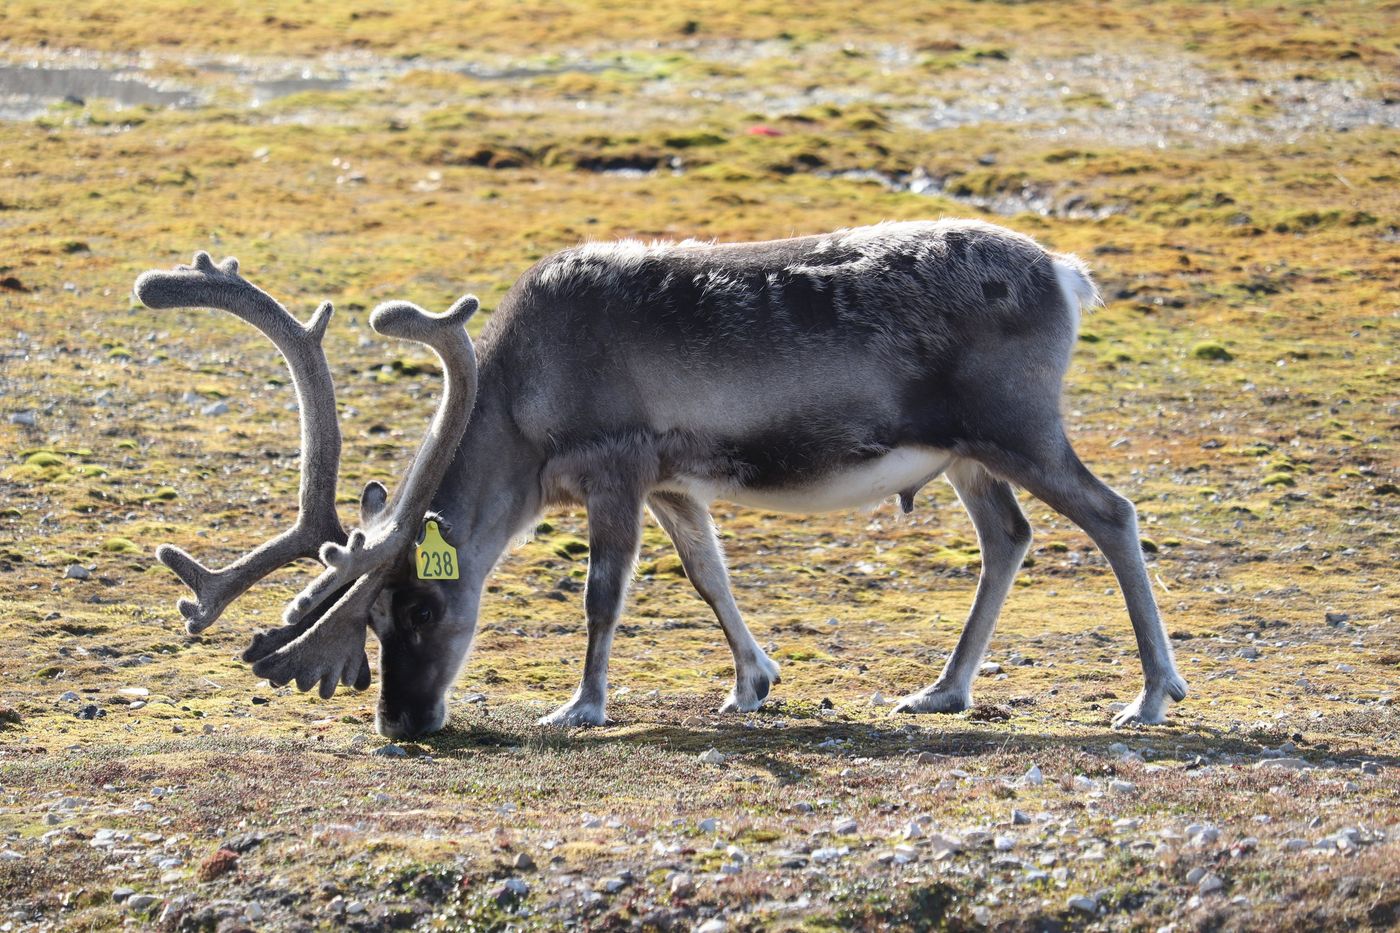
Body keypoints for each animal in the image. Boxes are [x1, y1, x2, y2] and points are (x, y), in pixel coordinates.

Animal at [134, 220, 1188, 740]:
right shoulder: (678, 478)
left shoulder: (618, 460)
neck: (519, 408)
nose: (403, 722)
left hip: (1018, 427)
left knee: (1113, 511)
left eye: (426, 605)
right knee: (1011, 536)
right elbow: (710, 576)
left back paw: (1150, 693)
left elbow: (604, 594)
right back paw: (941, 690)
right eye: (377, 621)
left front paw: (581, 706)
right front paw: (754, 682)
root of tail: (1069, 274)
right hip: (968, 455)